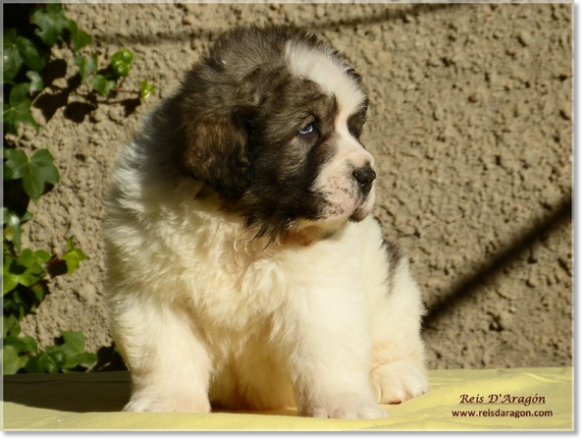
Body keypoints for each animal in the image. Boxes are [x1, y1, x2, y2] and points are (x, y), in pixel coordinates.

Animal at [102, 25, 426, 420]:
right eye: (308, 128)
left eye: (354, 128)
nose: (367, 175)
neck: (240, 222)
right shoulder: (154, 294)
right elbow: (165, 354)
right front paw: (168, 404)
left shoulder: (320, 293)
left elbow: (329, 356)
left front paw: (345, 405)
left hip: (394, 289)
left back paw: (393, 379)